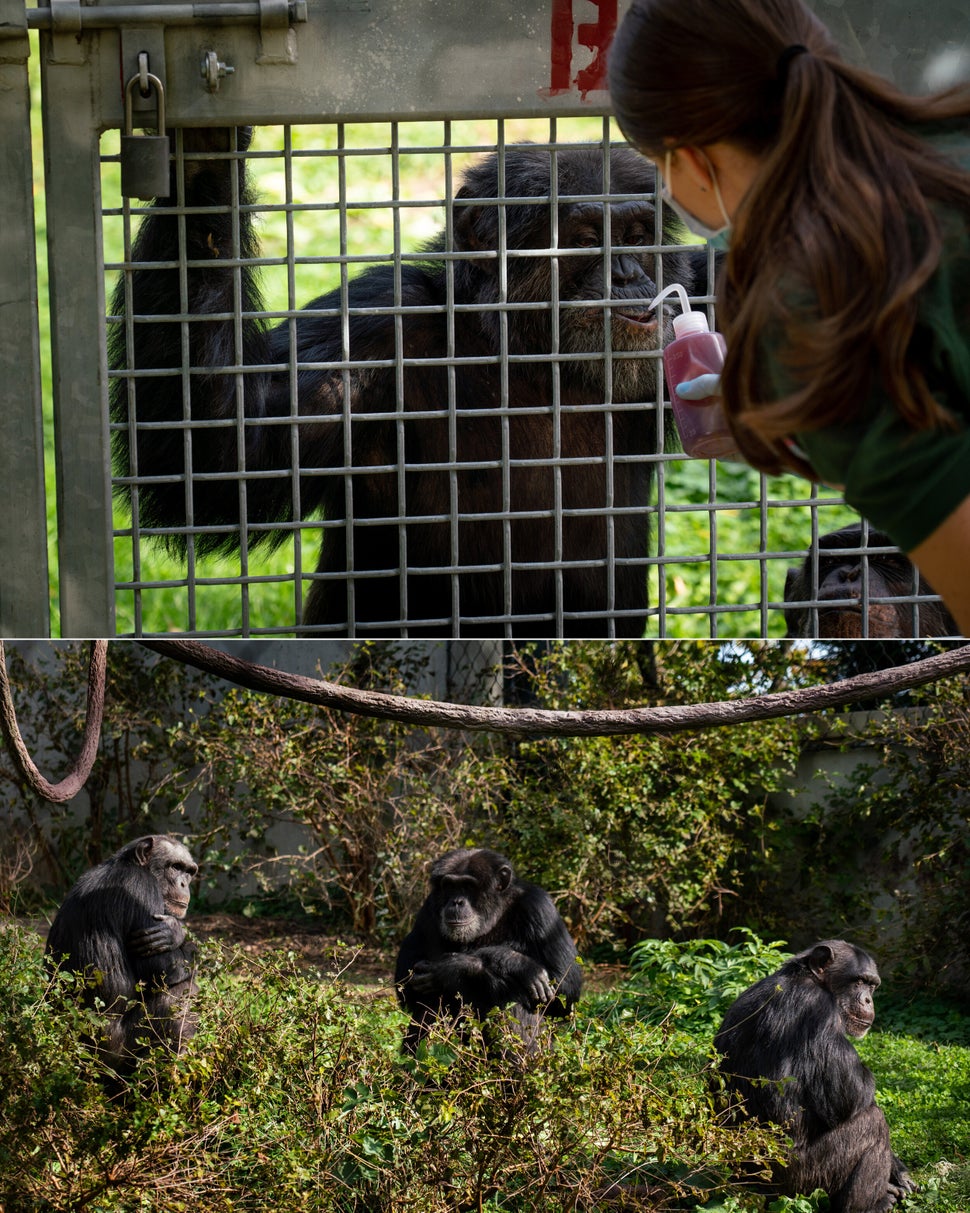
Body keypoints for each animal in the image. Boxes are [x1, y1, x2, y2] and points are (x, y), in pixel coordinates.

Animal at [44, 834, 196, 1072]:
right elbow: (160, 967)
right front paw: (177, 933)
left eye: (189, 871)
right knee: (181, 993)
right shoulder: (141, 888)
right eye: (175, 867)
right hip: (115, 1051)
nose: (183, 883)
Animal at [109, 129, 708, 640]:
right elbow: (225, 458)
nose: (628, 274)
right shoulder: (371, 328)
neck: (531, 356)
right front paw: (199, 156)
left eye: (637, 236)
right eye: (585, 239)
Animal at [395, 844, 584, 1052]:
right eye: (450, 886)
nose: (456, 902)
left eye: (468, 886)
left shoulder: (540, 908)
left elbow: (566, 987)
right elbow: (406, 983)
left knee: (514, 998)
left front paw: (512, 963)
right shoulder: (428, 909)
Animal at [712, 936, 916, 1213]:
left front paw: (899, 1171)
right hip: (800, 1182)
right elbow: (854, 1095)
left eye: (872, 985)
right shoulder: (819, 1010)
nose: (868, 1000)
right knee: (872, 1123)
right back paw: (873, 1204)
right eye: (859, 981)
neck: (809, 978)